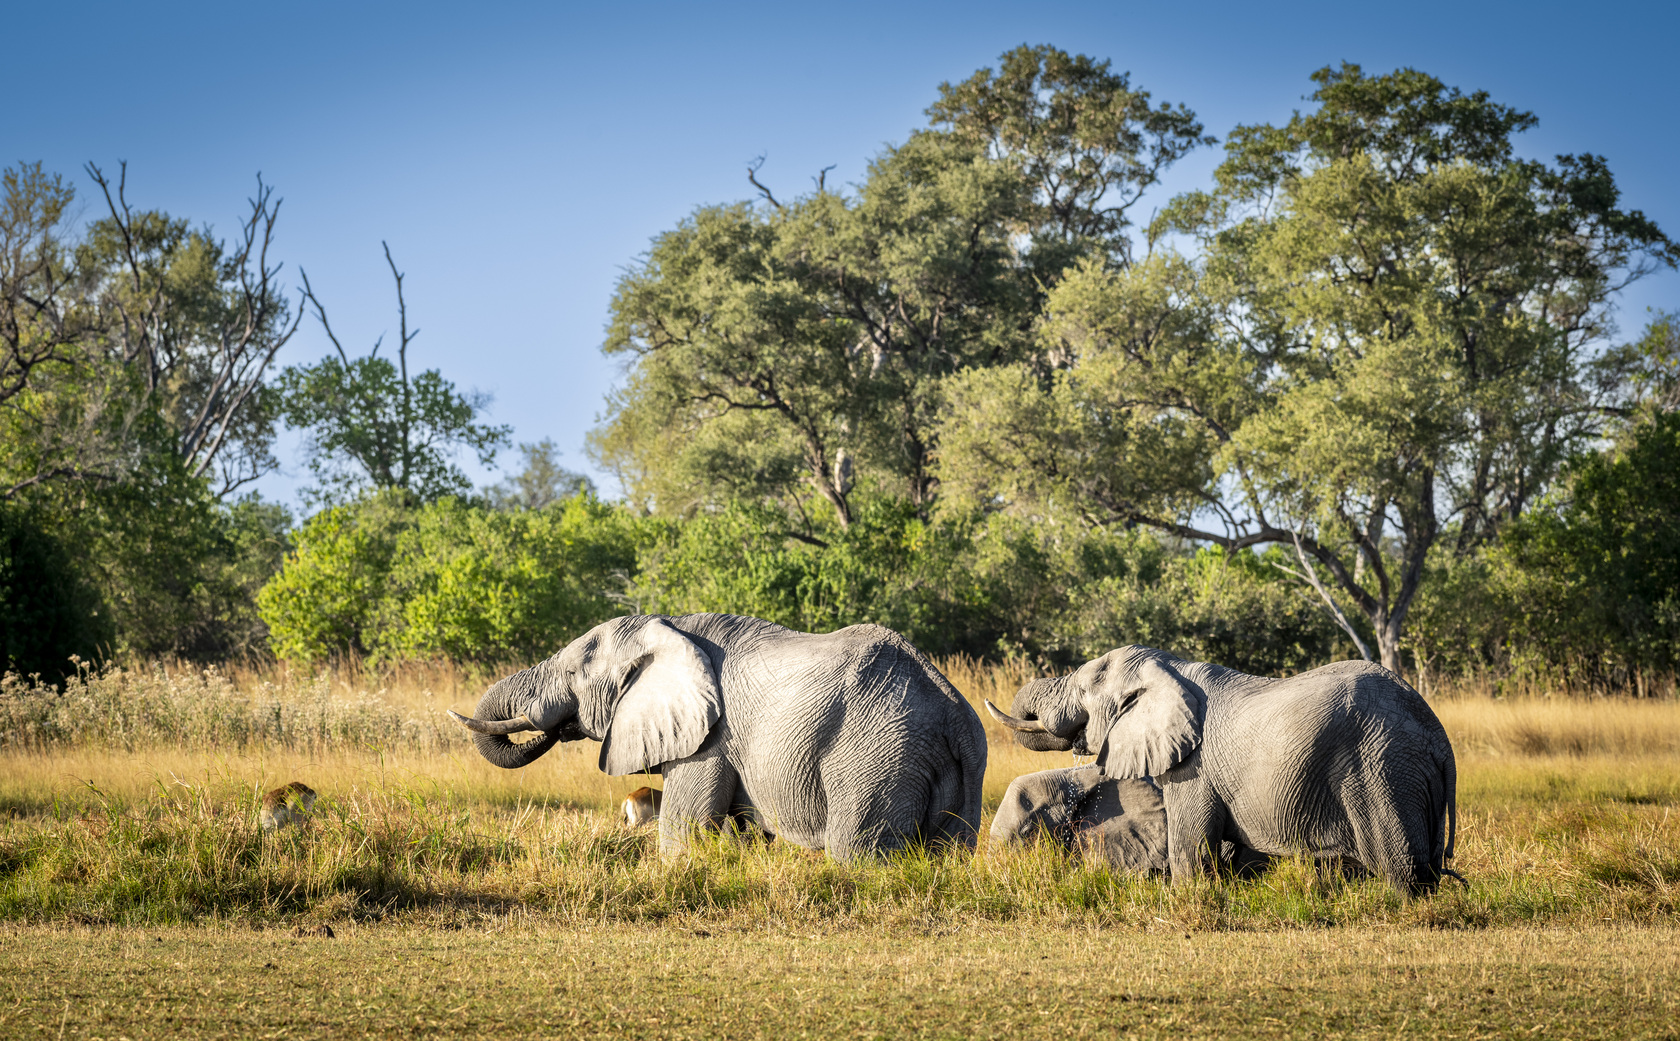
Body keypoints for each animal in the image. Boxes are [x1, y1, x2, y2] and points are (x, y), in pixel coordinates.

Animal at [449, 613, 987, 857]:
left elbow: (684, 829)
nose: (558, 725)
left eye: (574, 674)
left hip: (876, 757)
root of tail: (955, 717)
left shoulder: (711, 741)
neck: (667, 627)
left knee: (857, 852)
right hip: (956, 770)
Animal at [985, 647, 1458, 896]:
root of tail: (1439, 739)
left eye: (1084, 689)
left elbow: (1190, 852)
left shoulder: (1193, 769)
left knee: (1402, 871)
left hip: (1382, 771)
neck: (1169, 669)